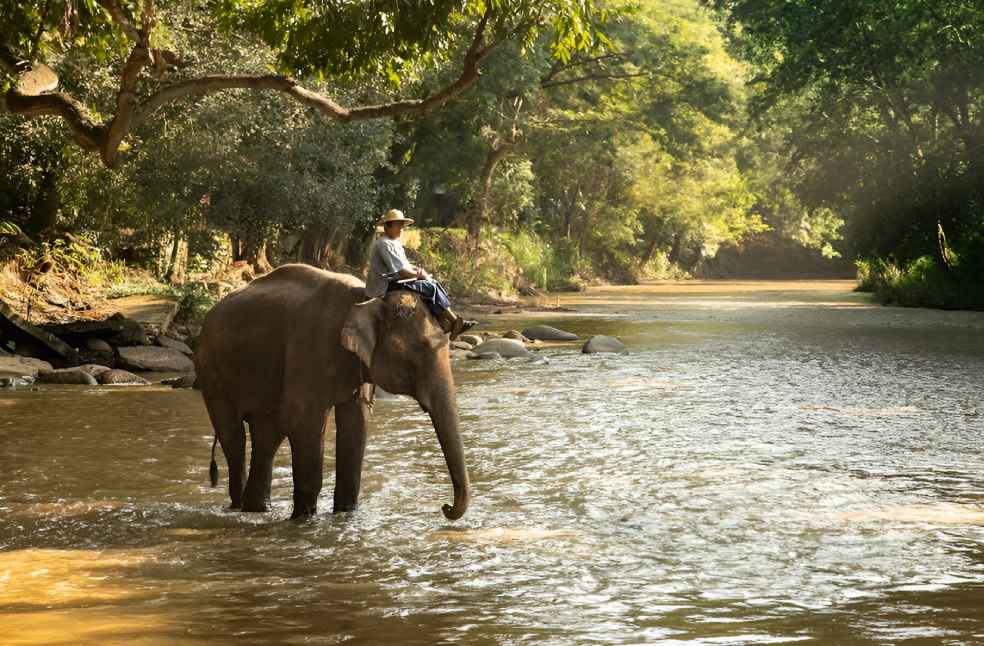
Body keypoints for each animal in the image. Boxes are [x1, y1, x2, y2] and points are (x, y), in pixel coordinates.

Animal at [194, 264, 470, 520]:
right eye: (416, 357)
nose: (445, 506)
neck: (365, 300)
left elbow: (356, 423)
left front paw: (346, 514)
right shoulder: (310, 348)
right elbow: (304, 422)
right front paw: (305, 519)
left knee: (266, 436)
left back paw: (256, 509)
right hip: (211, 370)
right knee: (234, 437)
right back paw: (239, 507)